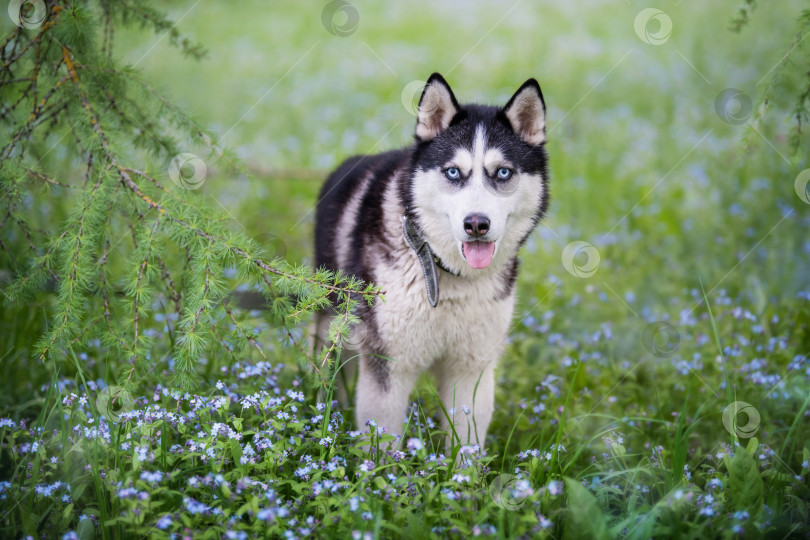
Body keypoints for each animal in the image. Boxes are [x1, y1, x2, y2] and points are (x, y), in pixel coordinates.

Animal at [312, 74, 548, 450]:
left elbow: (466, 446)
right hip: (336, 325)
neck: (447, 274)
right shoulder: (388, 366)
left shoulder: (471, 369)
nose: (476, 224)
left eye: (503, 173)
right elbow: (382, 443)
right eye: (453, 172)